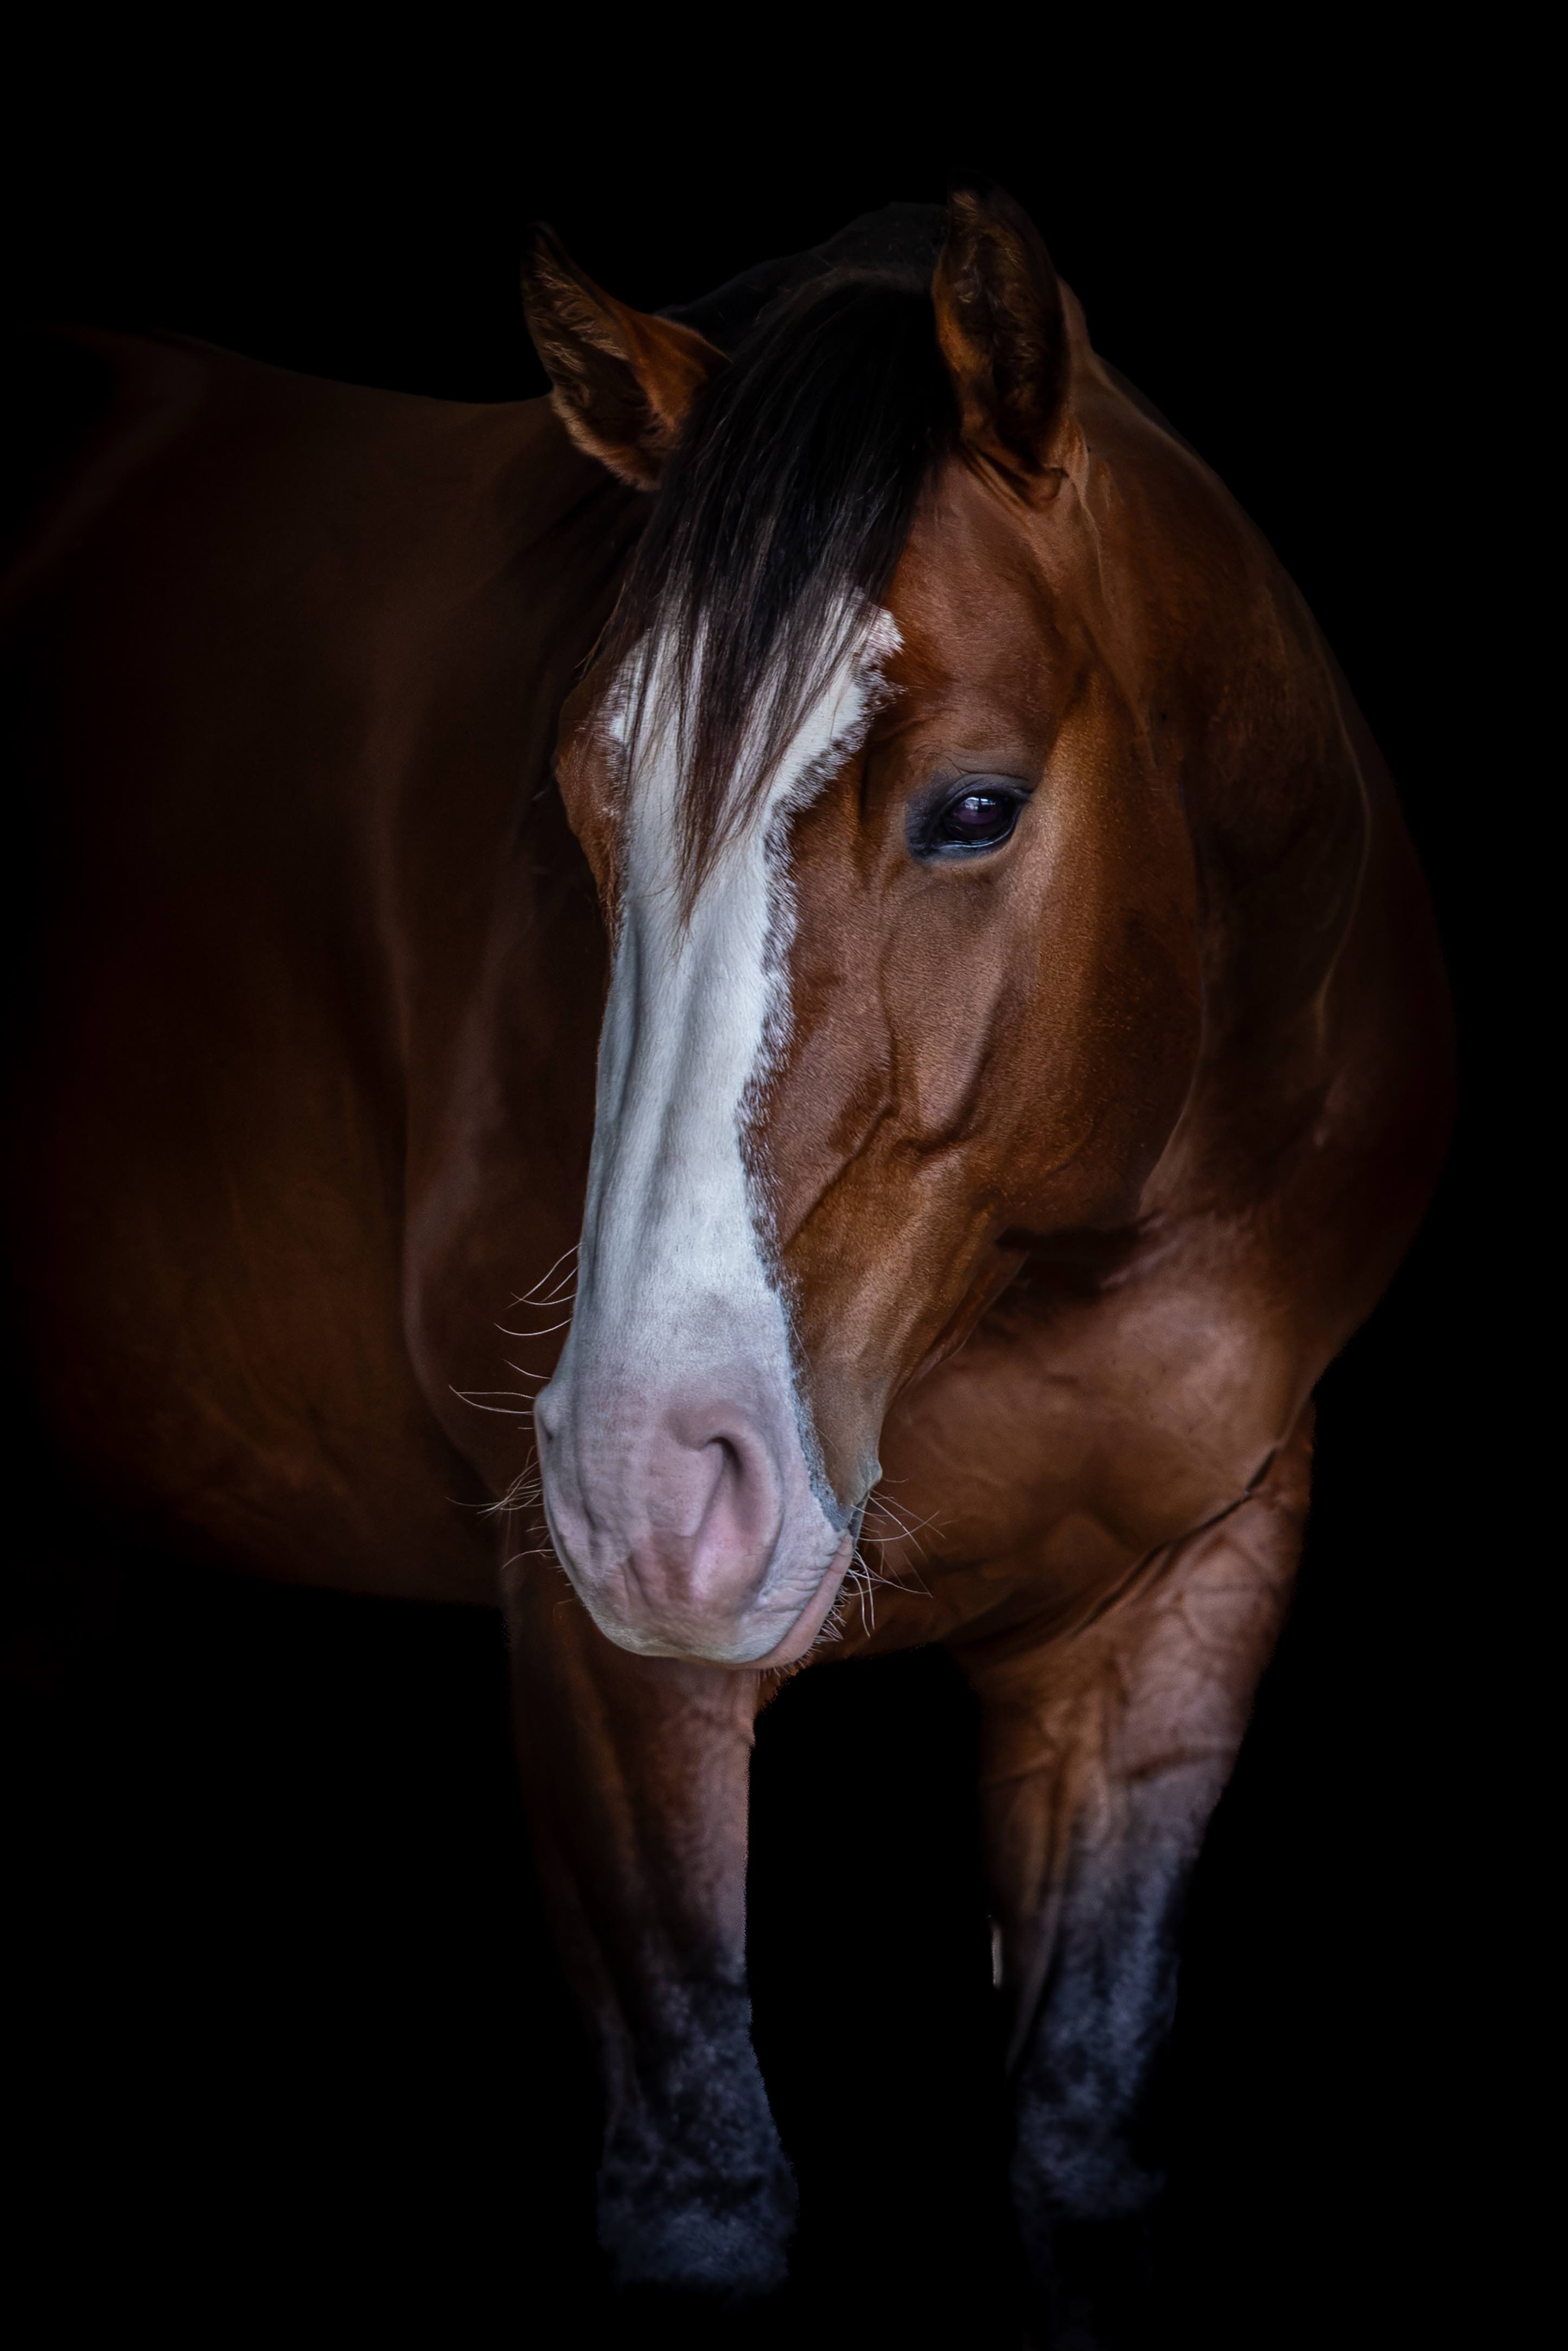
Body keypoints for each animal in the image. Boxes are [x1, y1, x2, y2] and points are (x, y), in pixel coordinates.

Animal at [3, 186, 1451, 2339]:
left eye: (971, 807)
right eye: (588, 808)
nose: (647, 1481)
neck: (1053, 1276)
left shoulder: (1185, 1596)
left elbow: (1081, 2134)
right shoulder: (617, 1680)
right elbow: (703, 2179)